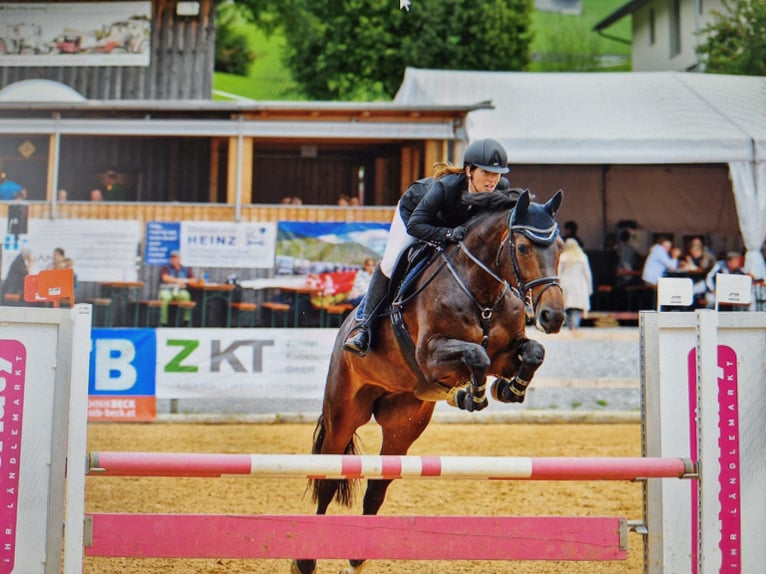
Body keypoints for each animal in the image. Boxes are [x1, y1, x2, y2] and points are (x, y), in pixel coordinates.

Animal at [292, 189, 565, 574]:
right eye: (524, 247)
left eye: (559, 248)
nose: (553, 316)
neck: (482, 292)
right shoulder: (432, 355)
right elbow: (476, 356)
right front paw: (475, 394)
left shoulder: (505, 353)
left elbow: (533, 352)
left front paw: (507, 389)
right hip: (344, 413)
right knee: (328, 480)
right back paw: (305, 560)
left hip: (403, 424)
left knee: (376, 490)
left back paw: (358, 556)